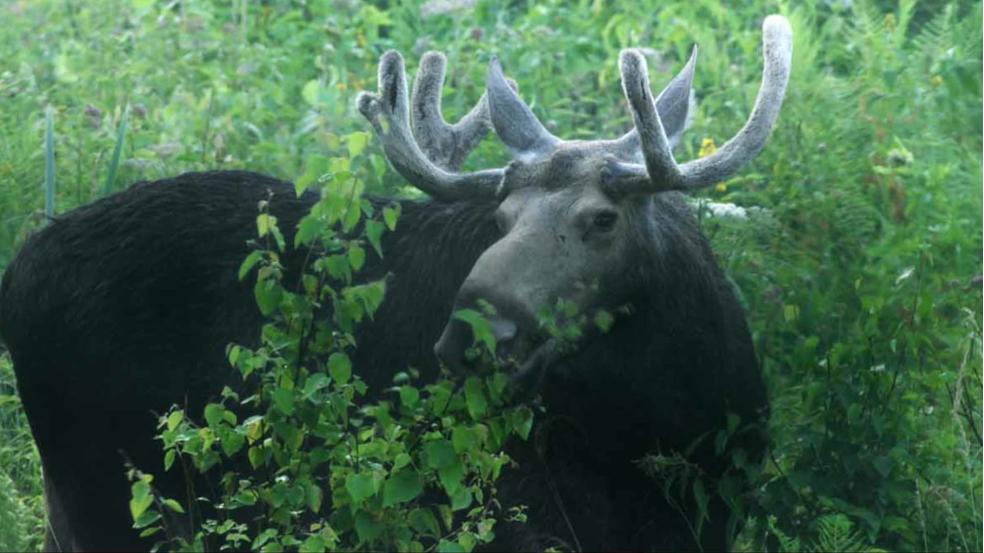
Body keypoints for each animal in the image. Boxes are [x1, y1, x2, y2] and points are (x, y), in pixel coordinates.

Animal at [0, 15, 792, 548]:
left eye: (603, 218)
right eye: (500, 215)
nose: (470, 338)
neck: (675, 412)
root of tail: (18, 270)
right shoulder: (521, 514)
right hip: (105, 494)